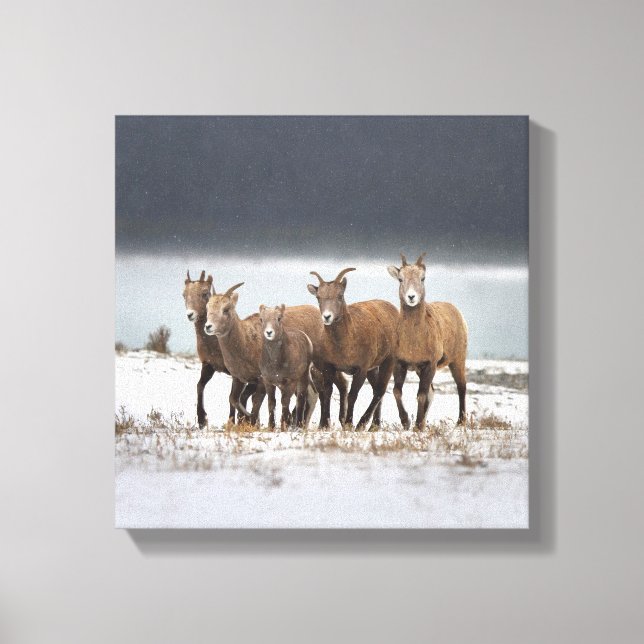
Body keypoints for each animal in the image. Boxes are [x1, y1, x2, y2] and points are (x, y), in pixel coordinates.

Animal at [182, 270, 255, 428]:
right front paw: (202, 420)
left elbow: (232, 399)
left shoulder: (236, 374)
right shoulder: (208, 366)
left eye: (204, 293)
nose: (190, 314)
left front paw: (231, 422)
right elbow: (199, 386)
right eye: (184, 294)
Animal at [204, 282, 347, 428]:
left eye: (226, 309)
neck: (245, 343)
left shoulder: (262, 380)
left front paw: (254, 421)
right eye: (207, 307)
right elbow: (233, 399)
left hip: (319, 368)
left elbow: (256, 402)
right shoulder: (238, 378)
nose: (208, 327)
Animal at [307, 267, 399, 430]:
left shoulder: (360, 369)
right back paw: (374, 426)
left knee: (380, 390)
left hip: (388, 361)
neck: (345, 344)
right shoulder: (329, 367)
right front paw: (324, 424)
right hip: (373, 368)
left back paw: (363, 425)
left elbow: (352, 395)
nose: (327, 317)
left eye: (340, 295)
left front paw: (349, 424)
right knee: (376, 390)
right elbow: (327, 392)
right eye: (318, 297)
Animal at [387, 253, 468, 429]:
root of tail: (457, 313)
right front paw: (406, 422)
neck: (413, 342)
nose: (411, 297)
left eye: (422, 278)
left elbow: (421, 395)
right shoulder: (400, 364)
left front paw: (417, 426)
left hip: (457, 360)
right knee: (433, 392)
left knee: (462, 387)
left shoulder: (429, 365)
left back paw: (460, 422)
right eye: (400, 279)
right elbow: (397, 391)